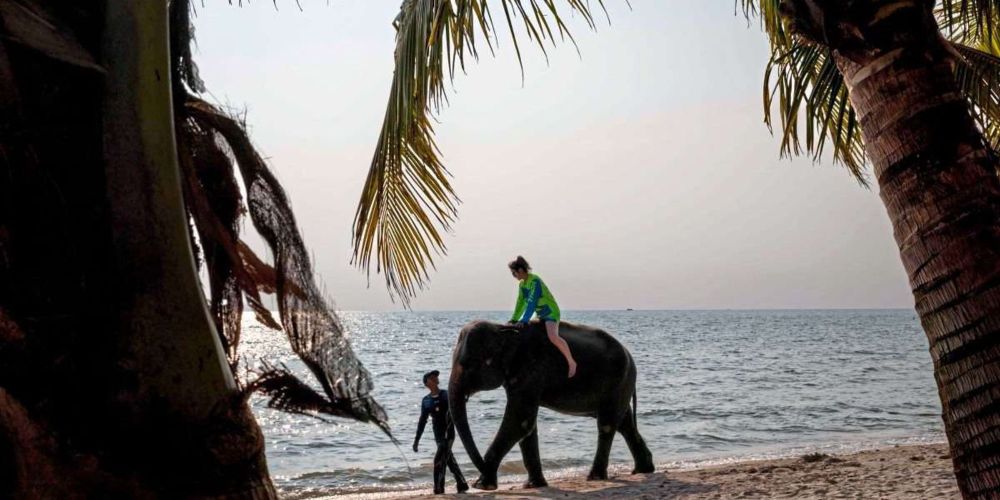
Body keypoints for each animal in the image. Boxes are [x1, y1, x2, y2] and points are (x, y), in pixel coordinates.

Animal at [448, 320, 656, 488]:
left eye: (469, 363)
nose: (469, 482)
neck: (503, 328)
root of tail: (630, 355)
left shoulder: (532, 371)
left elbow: (520, 421)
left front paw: (483, 486)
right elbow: (527, 426)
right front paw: (533, 485)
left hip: (619, 382)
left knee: (607, 425)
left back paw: (595, 477)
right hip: (620, 386)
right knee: (624, 424)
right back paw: (642, 470)